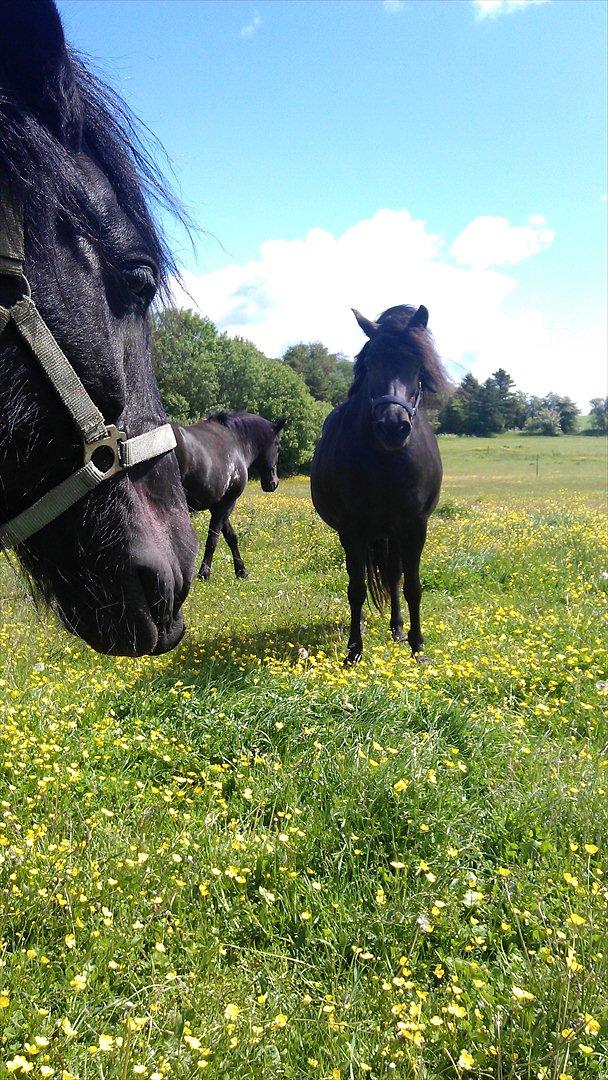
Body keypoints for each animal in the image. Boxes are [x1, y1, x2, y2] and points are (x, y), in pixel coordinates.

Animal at [172, 412, 285, 583]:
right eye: (278, 447)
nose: (273, 483)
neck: (236, 440)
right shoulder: (228, 502)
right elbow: (213, 539)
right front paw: (204, 573)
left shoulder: (217, 505)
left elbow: (231, 537)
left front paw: (241, 571)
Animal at [311, 300, 449, 660]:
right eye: (371, 363)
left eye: (417, 364)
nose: (392, 426)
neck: (386, 463)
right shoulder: (352, 530)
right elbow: (356, 589)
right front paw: (353, 651)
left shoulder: (415, 526)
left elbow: (412, 586)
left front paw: (417, 647)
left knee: (394, 577)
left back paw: (398, 629)